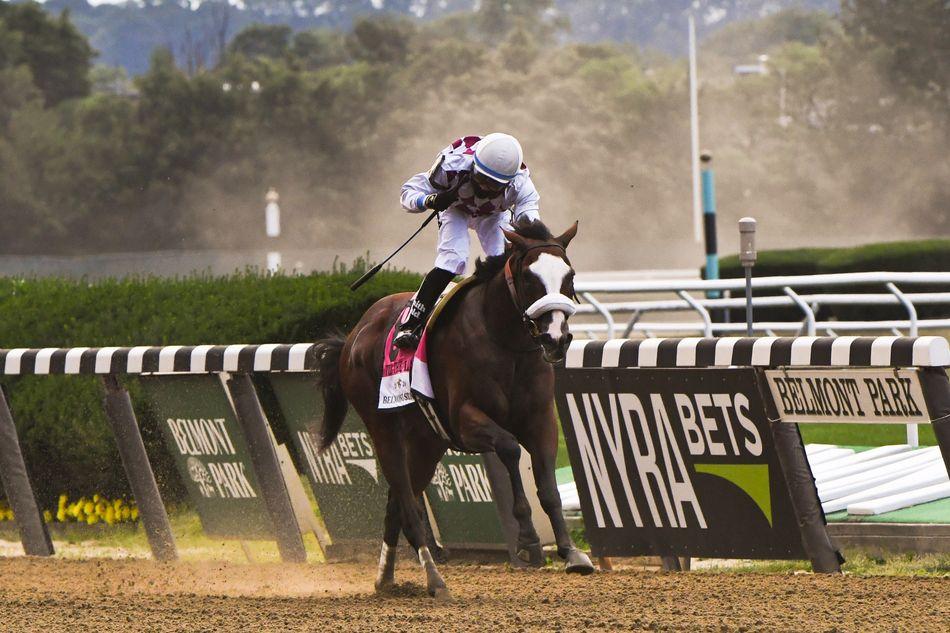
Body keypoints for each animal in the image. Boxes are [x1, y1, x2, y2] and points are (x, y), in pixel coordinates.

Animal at [316, 220, 592, 596]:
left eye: (570, 276)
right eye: (529, 279)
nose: (556, 339)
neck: (505, 342)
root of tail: (355, 334)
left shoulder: (541, 420)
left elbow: (548, 486)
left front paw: (570, 552)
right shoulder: (465, 420)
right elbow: (509, 447)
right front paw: (527, 538)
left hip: (426, 443)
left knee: (395, 505)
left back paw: (386, 578)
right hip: (383, 430)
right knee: (407, 504)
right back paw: (435, 579)